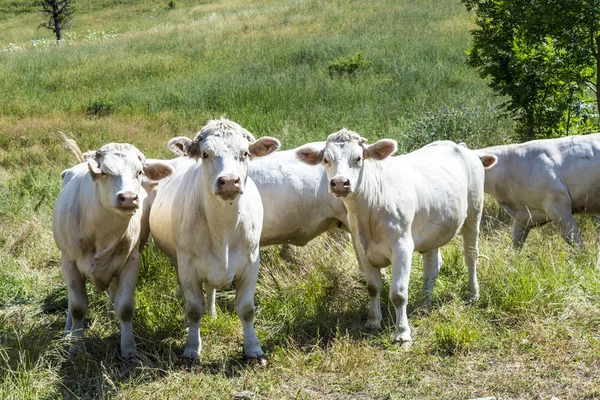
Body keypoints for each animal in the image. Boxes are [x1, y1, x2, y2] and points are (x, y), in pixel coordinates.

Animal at [53, 142, 173, 358]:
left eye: (139, 172)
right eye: (105, 172)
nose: (129, 198)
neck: (102, 234)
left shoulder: (130, 263)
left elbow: (124, 307)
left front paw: (128, 348)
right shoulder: (69, 264)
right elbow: (77, 308)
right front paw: (76, 345)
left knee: (113, 292)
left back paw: (110, 320)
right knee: (70, 304)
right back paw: (68, 333)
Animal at [150, 119, 282, 362]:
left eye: (245, 153)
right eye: (205, 154)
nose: (229, 181)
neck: (224, 230)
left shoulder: (251, 262)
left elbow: (246, 309)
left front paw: (253, 348)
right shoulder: (187, 265)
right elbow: (194, 308)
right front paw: (192, 348)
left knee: (211, 289)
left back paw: (211, 313)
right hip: (176, 261)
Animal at [296, 130, 496, 346]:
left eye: (358, 158)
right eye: (326, 159)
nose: (340, 182)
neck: (369, 211)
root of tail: (459, 146)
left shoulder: (402, 246)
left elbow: (398, 293)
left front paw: (402, 333)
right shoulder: (361, 248)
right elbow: (373, 287)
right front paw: (373, 321)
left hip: (474, 213)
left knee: (471, 256)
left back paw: (472, 294)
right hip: (434, 228)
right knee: (432, 267)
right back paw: (424, 303)